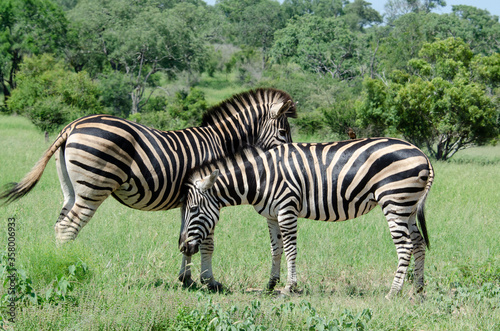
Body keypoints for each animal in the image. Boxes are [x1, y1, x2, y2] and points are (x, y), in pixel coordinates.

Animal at [0, 87, 296, 290]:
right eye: (283, 132)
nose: (291, 155)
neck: (221, 143)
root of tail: (72, 126)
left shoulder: (187, 200)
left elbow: (186, 239)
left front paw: (186, 279)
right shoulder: (206, 194)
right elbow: (207, 241)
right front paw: (209, 282)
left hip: (71, 189)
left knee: (59, 224)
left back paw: (59, 264)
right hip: (93, 185)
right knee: (68, 227)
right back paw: (65, 271)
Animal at [180, 139, 434, 300]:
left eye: (193, 209)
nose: (183, 247)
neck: (261, 176)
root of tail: (422, 154)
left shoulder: (287, 208)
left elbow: (290, 249)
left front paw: (289, 287)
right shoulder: (271, 216)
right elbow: (276, 249)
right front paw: (271, 284)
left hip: (394, 201)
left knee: (405, 247)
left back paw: (393, 292)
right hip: (408, 206)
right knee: (419, 244)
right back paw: (418, 289)